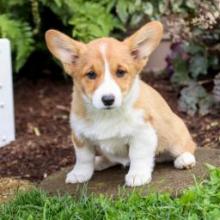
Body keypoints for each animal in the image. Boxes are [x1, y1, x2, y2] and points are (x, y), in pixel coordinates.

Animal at [45, 20, 197, 186]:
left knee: (188, 146)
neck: (106, 115)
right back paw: (100, 162)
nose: (108, 99)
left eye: (120, 72)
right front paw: (80, 174)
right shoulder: (79, 135)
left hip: (175, 136)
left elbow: (138, 155)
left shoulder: (142, 133)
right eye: (91, 74)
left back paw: (184, 159)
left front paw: (137, 175)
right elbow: (83, 157)